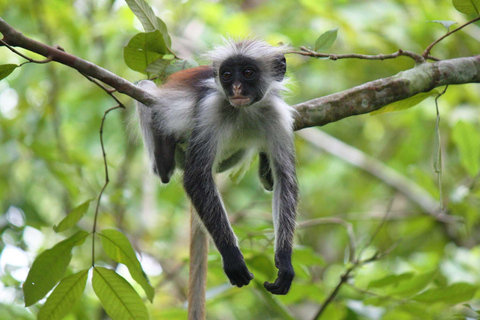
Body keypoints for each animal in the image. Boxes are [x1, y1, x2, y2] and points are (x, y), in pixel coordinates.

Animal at [137, 38, 298, 294]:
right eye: (227, 75)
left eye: (248, 72)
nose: (236, 89)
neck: (245, 110)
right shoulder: (210, 109)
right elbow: (195, 177)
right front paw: (232, 256)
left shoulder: (277, 115)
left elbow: (285, 179)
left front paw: (284, 260)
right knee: (145, 86)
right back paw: (163, 157)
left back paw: (265, 169)